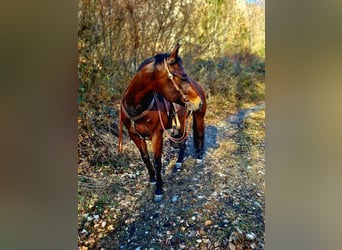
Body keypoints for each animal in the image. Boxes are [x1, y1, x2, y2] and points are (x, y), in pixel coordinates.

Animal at [119, 44, 207, 201]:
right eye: (183, 77)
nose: (199, 102)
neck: (136, 106)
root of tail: (198, 85)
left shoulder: (156, 135)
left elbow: (157, 161)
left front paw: (159, 189)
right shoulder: (135, 136)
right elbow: (146, 158)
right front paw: (152, 180)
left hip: (199, 118)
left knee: (200, 135)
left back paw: (198, 157)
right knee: (183, 141)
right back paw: (179, 161)